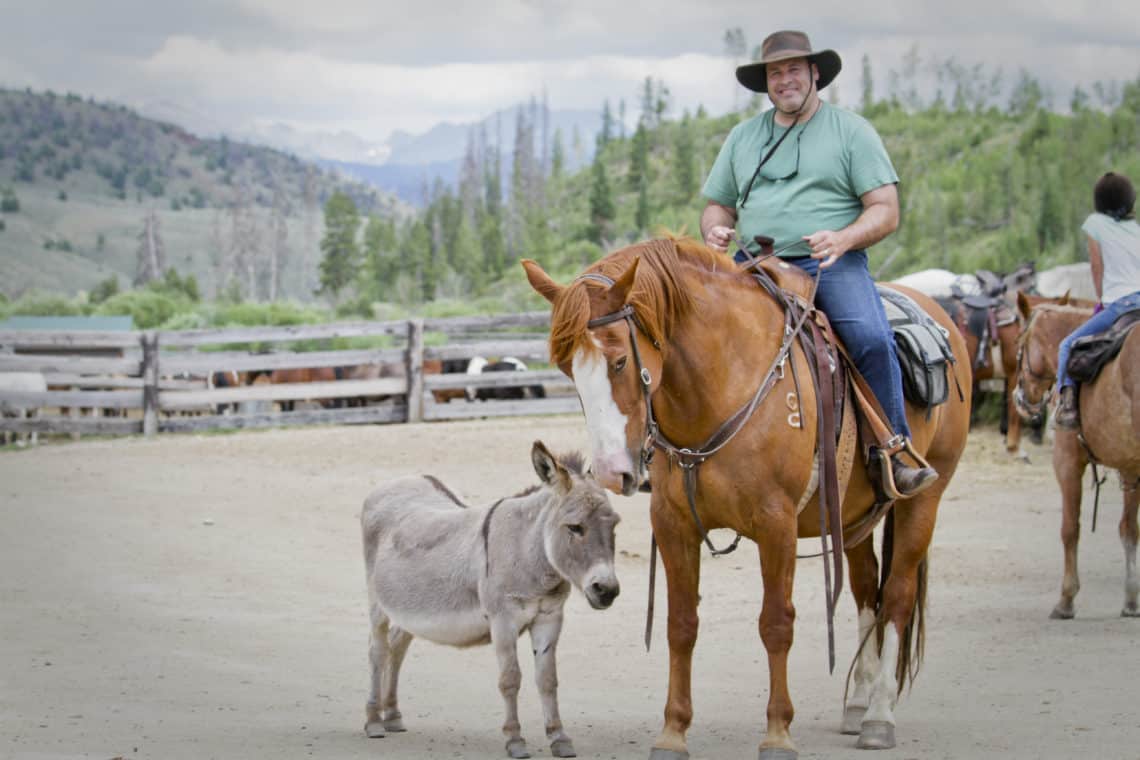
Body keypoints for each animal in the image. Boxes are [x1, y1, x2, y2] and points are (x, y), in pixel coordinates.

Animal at [522, 239, 966, 760]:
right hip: (853, 517)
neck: (722, 386)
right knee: (864, 592)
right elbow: (680, 624)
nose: (614, 471)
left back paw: (879, 715)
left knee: (896, 594)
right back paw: (858, 703)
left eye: (618, 361)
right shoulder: (672, 523)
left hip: (923, 499)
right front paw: (672, 732)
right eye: (567, 368)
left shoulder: (777, 524)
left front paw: (777, 733)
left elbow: (776, 623)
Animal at [1012, 296, 1135, 619]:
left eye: (1019, 343)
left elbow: (1070, 529)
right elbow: (1130, 529)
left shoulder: (1066, 462)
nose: (1019, 397)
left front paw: (1066, 599)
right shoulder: (1130, 466)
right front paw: (1132, 600)